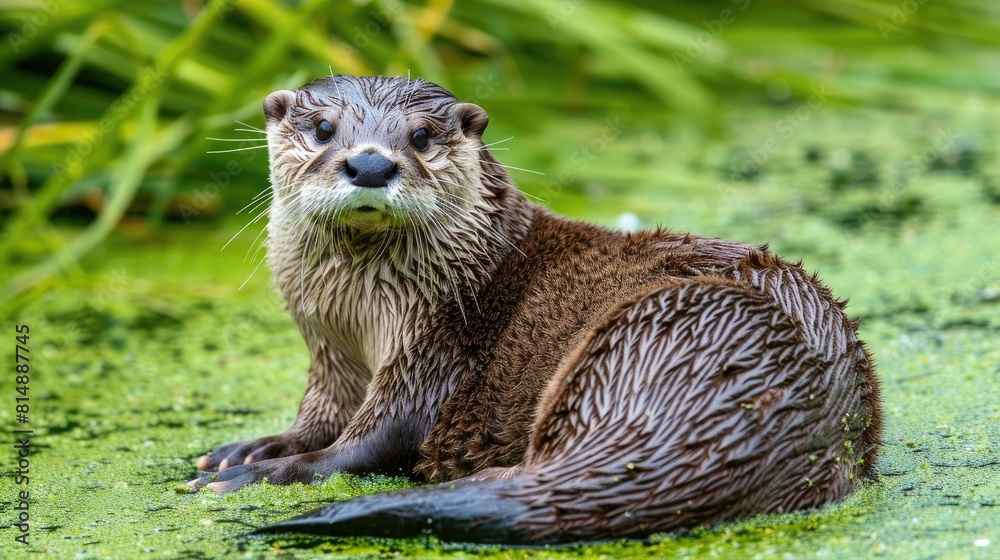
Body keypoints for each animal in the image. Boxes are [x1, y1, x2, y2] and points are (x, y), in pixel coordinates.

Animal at [191, 74, 888, 544]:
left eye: (420, 137)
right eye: (323, 130)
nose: (368, 163)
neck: (366, 319)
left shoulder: (437, 348)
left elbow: (371, 440)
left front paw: (261, 473)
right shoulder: (330, 353)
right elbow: (320, 416)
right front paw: (247, 449)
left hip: (642, 332)